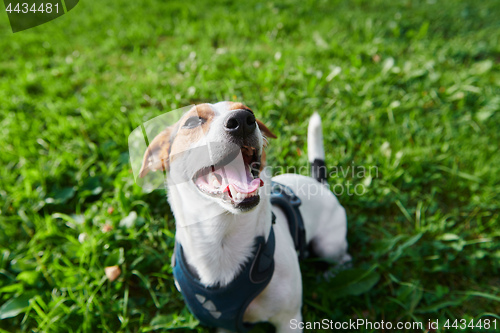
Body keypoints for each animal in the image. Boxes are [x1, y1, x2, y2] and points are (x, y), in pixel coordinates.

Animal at [138, 102, 352, 330]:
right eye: (192, 121)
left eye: (249, 111)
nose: (242, 120)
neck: (220, 238)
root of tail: (318, 184)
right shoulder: (225, 326)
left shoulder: (289, 320)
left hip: (328, 246)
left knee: (343, 257)